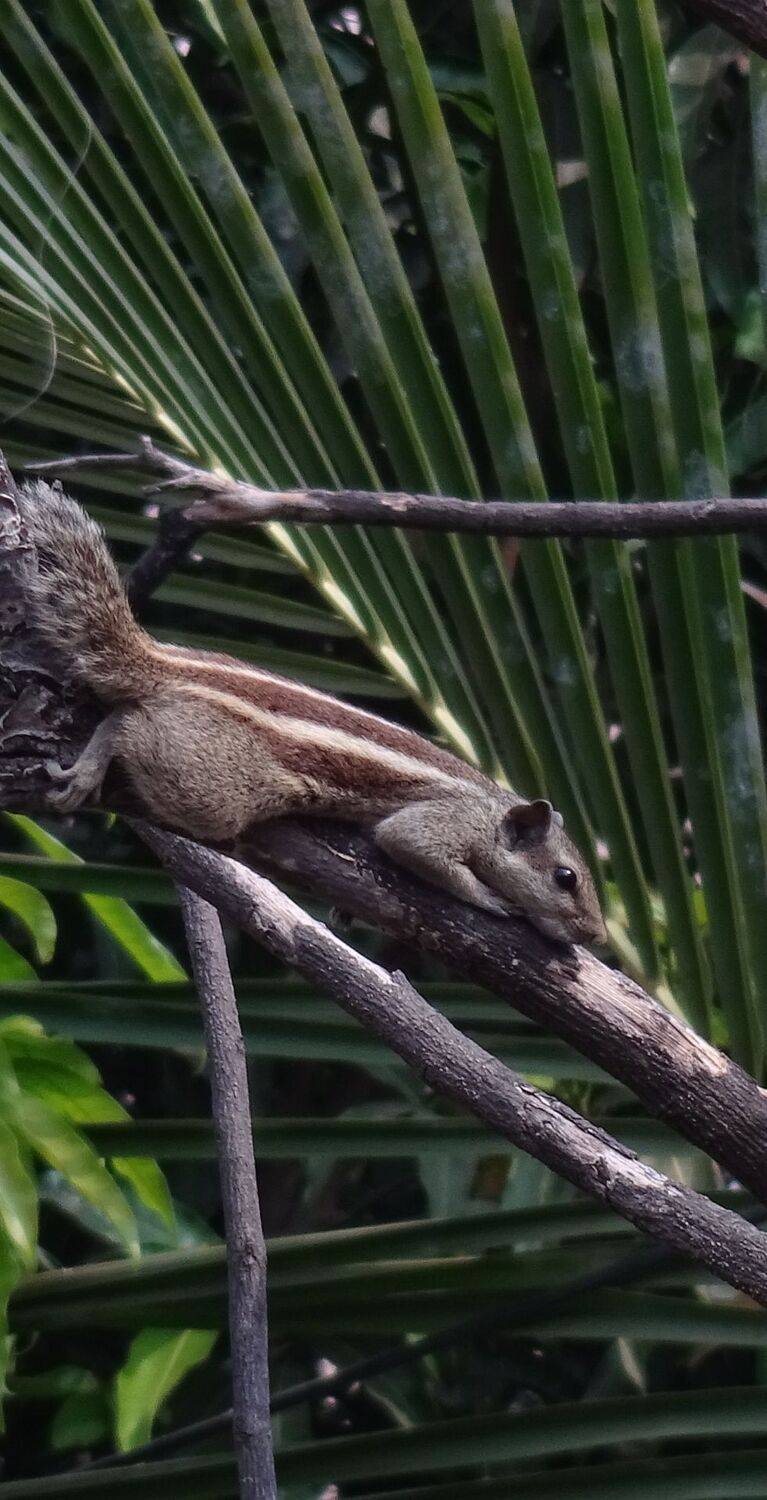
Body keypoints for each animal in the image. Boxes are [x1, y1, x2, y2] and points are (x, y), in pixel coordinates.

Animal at [18, 480, 606, 945]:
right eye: (566, 878)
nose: (597, 934)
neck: (489, 806)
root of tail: (167, 663)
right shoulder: (448, 819)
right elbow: (411, 844)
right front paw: (488, 896)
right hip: (212, 785)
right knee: (128, 725)